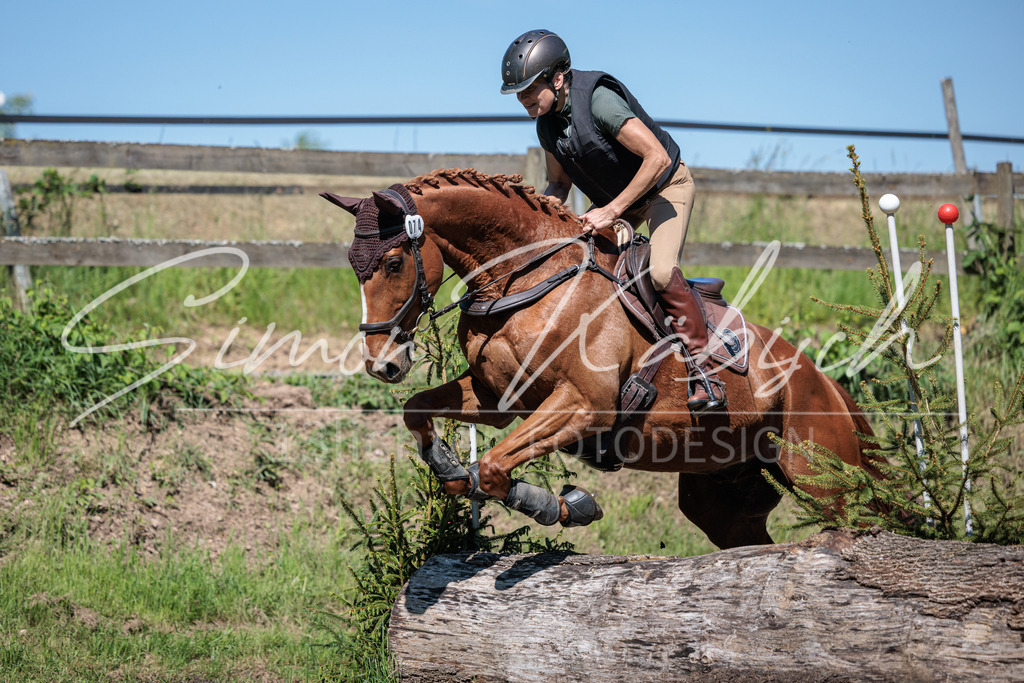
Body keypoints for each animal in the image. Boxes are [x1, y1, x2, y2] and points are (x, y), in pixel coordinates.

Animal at [322, 168, 884, 549]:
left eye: (394, 262)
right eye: (352, 265)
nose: (382, 364)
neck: (524, 278)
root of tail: (825, 381)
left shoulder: (585, 405)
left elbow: (497, 467)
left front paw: (563, 506)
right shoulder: (496, 398)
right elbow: (421, 415)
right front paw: (445, 463)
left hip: (821, 478)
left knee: (855, 525)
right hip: (724, 493)